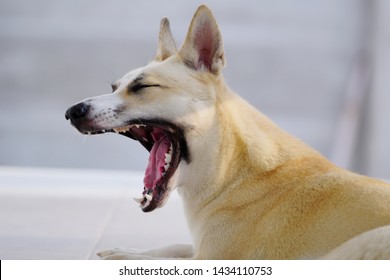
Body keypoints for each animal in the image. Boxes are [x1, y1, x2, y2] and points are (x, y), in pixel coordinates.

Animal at [65, 4, 390, 258]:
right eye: (114, 87)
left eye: (143, 87)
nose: (72, 112)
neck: (230, 171)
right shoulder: (200, 247)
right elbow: (174, 246)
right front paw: (127, 251)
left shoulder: (210, 258)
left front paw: (129, 256)